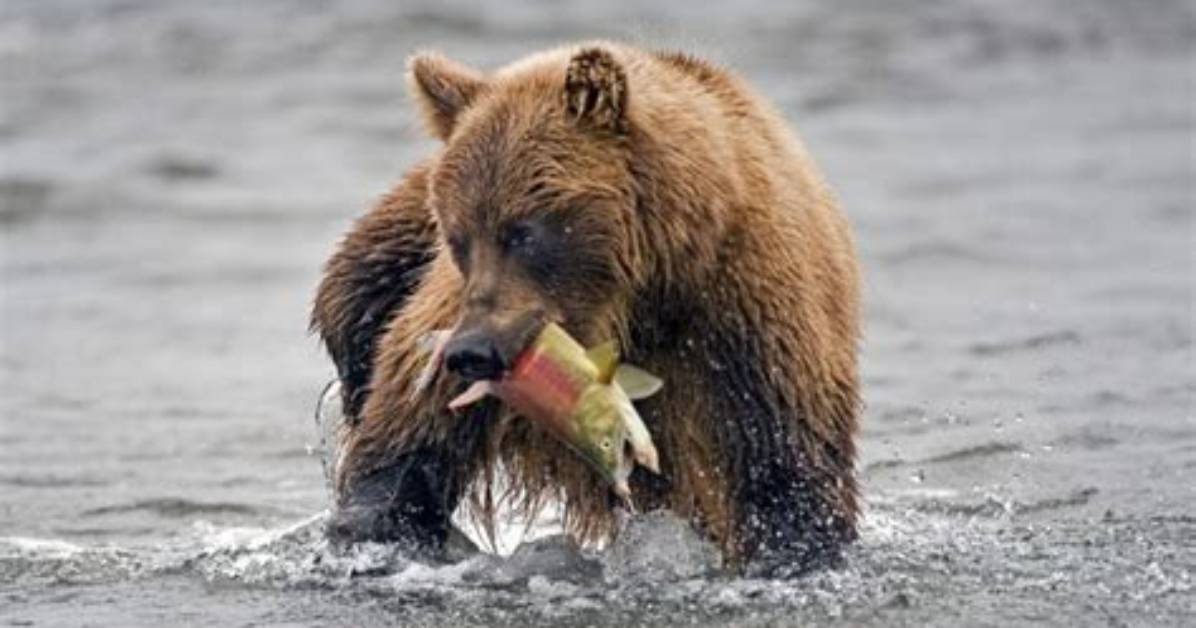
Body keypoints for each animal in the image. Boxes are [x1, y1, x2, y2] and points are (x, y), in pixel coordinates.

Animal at [311, 42, 860, 576]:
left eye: (524, 232)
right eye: (458, 237)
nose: (473, 351)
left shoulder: (748, 319)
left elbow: (786, 470)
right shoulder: (453, 318)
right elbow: (410, 436)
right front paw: (376, 527)